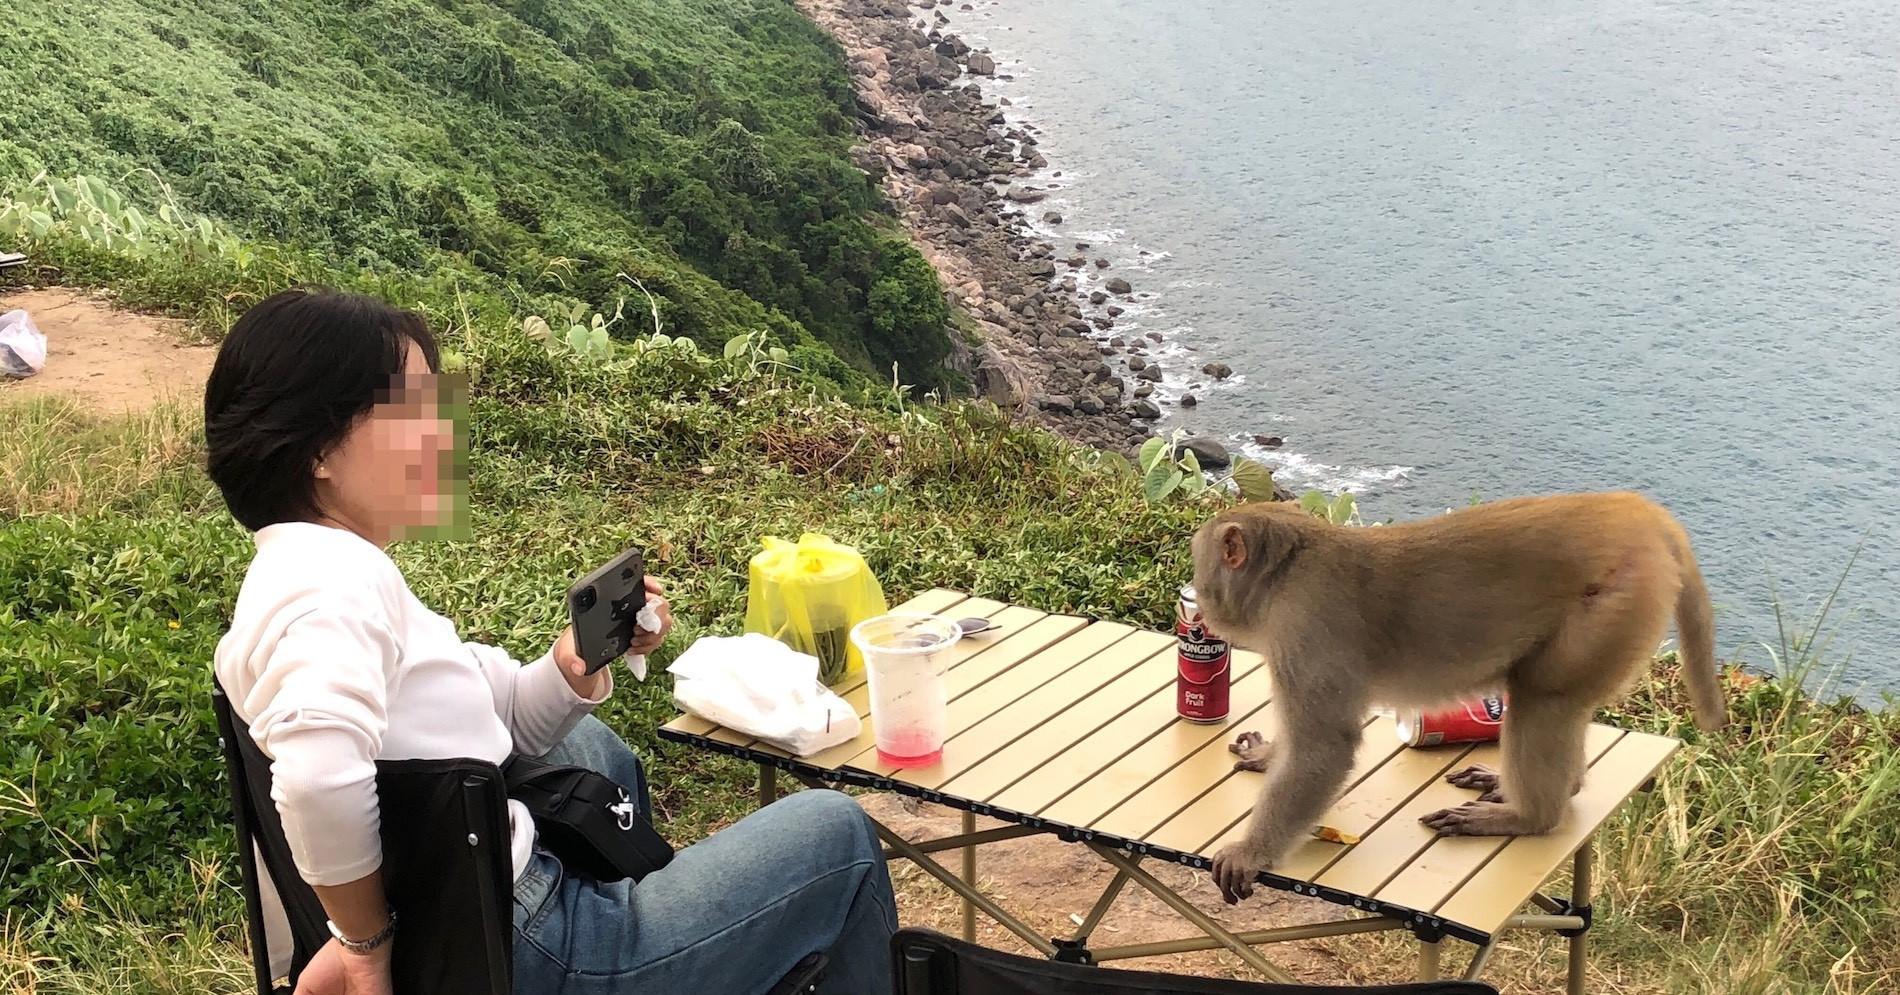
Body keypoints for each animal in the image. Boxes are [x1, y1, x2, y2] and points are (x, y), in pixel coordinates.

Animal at [1193, 489, 1732, 900]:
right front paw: (1269, 755)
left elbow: (1325, 746)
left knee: (1543, 696)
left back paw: (1528, 816)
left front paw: (1249, 852)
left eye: (1202, 563)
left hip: (1615, 603)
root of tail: (1636, 512)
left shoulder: (1305, 624)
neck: (1284, 573)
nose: (1197, 594)